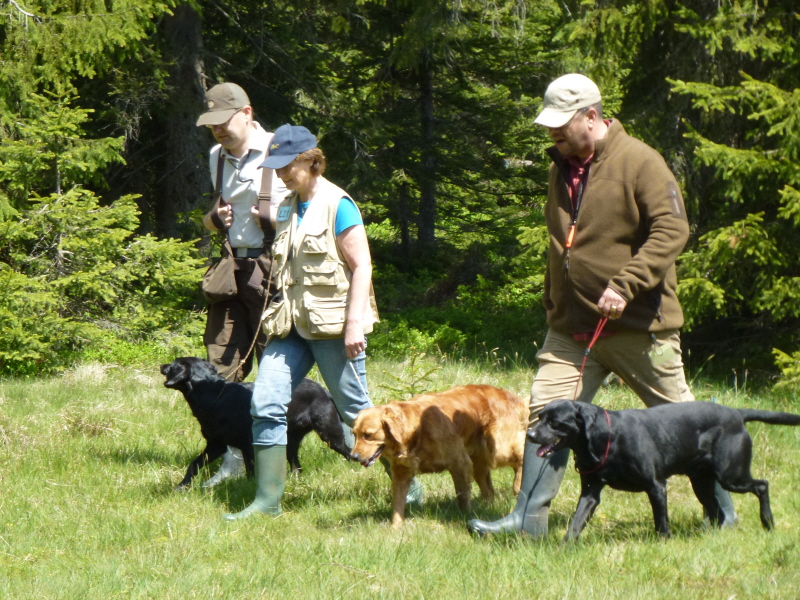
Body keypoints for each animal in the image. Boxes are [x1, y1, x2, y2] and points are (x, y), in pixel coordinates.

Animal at [161, 356, 352, 488]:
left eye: (172, 364)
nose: (162, 365)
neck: (215, 396)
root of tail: (324, 390)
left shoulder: (248, 445)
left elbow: (251, 471)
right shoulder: (216, 444)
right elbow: (194, 465)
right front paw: (181, 487)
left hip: (329, 433)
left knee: (347, 452)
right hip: (290, 441)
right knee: (297, 466)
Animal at [524, 398, 800, 540]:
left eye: (555, 422)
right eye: (539, 417)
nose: (530, 434)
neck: (606, 437)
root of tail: (737, 413)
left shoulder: (656, 486)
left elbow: (661, 523)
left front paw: (663, 542)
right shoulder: (591, 492)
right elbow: (576, 523)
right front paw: (564, 547)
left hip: (731, 474)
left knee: (761, 485)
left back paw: (768, 522)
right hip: (701, 480)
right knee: (714, 509)